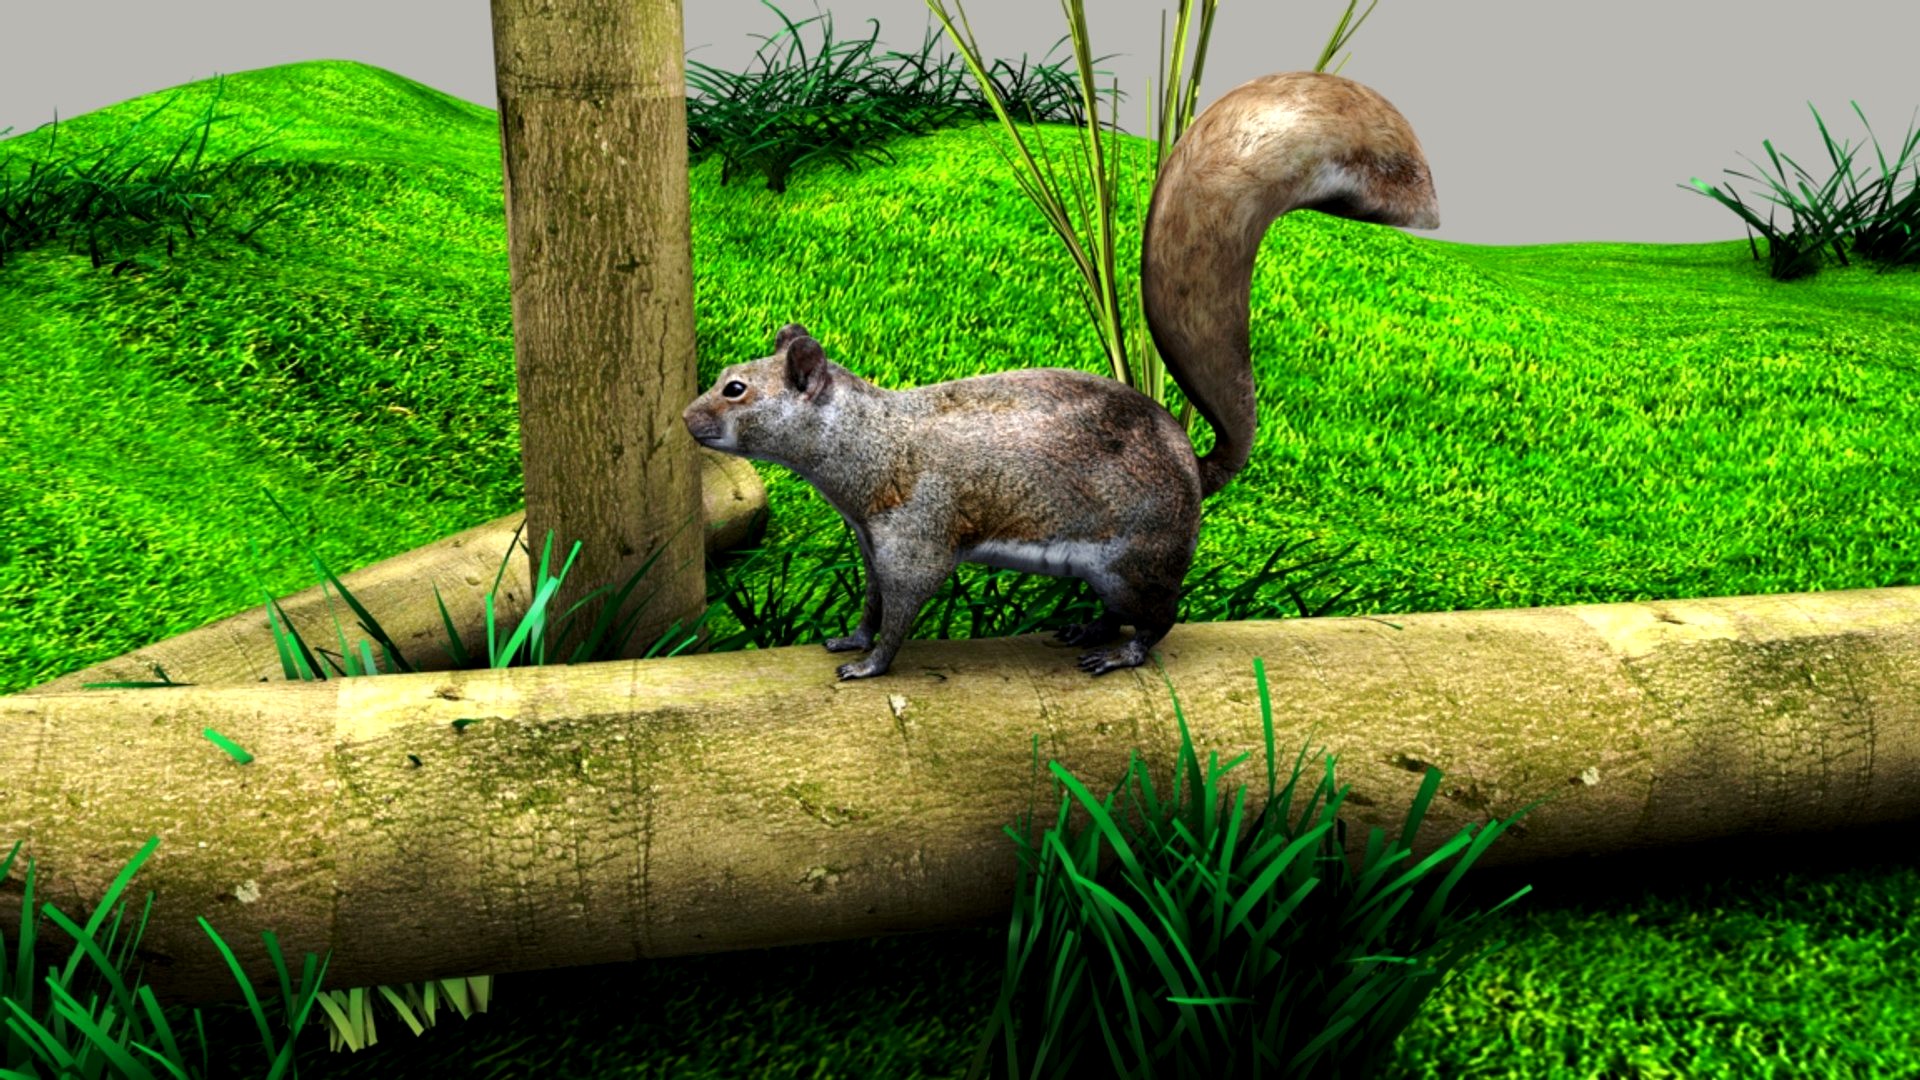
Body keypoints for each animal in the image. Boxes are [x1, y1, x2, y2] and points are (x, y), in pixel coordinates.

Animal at [682, 71, 1439, 680]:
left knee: (1159, 618)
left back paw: (1119, 653)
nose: (688, 418)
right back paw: (1081, 627)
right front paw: (849, 637)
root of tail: (1195, 468)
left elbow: (903, 609)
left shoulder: (916, 535)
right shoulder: (871, 544)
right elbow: (871, 602)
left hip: (1135, 560)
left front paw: (872, 664)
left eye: (737, 390)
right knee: (1119, 611)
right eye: (725, 373)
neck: (873, 441)